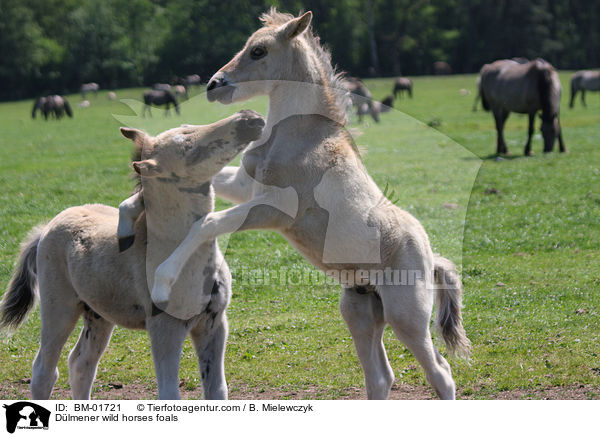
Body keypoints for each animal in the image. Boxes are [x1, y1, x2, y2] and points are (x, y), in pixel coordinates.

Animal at [0, 110, 264, 400]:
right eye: (186, 146)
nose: (248, 117)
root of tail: (46, 227)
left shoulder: (214, 323)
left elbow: (217, 391)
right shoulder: (164, 328)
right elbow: (169, 394)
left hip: (98, 314)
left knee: (81, 362)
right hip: (59, 306)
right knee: (44, 370)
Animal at [148, 8, 472, 400]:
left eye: (258, 50)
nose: (214, 85)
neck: (299, 135)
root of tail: (431, 257)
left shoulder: (273, 210)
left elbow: (207, 223)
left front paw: (161, 284)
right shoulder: (245, 187)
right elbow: (214, 188)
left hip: (406, 316)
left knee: (441, 373)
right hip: (360, 311)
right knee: (381, 378)